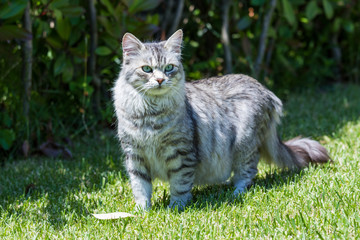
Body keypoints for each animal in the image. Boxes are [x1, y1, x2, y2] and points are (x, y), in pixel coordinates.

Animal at [112, 29, 330, 210]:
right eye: (147, 69)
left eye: (169, 68)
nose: (159, 80)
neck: (150, 115)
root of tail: (265, 91)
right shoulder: (135, 156)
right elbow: (141, 188)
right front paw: (142, 212)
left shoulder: (181, 154)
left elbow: (180, 186)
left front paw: (175, 208)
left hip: (244, 146)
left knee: (248, 173)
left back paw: (235, 193)